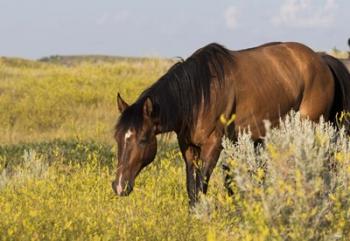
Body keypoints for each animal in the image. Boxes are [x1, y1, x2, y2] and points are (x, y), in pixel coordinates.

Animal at [111, 42, 350, 207]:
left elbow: (201, 185)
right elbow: (191, 187)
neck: (200, 95)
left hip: (310, 128)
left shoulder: (213, 146)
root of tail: (321, 60)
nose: (119, 186)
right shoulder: (189, 148)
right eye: (118, 138)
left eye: (143, 140)